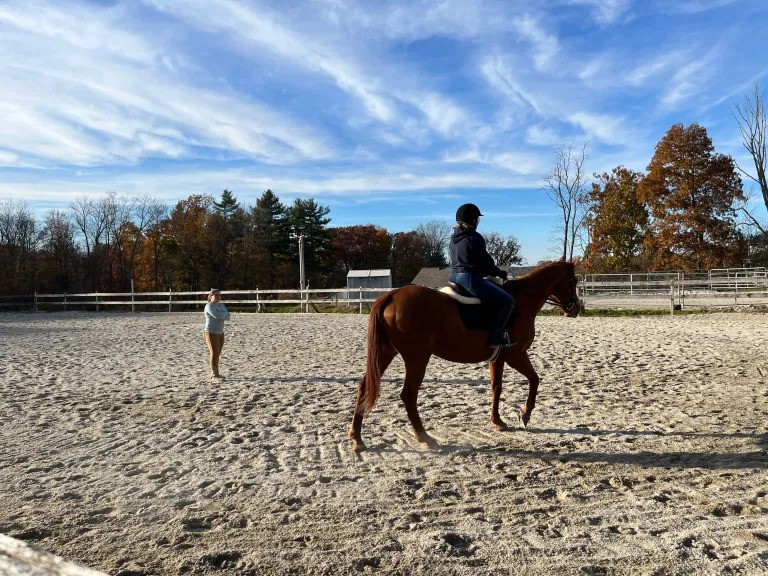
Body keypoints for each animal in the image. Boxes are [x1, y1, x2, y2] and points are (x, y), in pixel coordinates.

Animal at [346, 258, 576, 452]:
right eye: (572, 281)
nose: (575, 308)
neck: (523, 300)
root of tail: (392, 295)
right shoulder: (516, 355)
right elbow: (534, 380)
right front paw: (525, 414)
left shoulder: (498, 359)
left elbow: (497, 388)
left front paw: (497, 421)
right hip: (417, 358)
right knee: (408, 395)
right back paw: (425, 438)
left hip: (386, 353)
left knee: (364, 387)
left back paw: (357, 438)